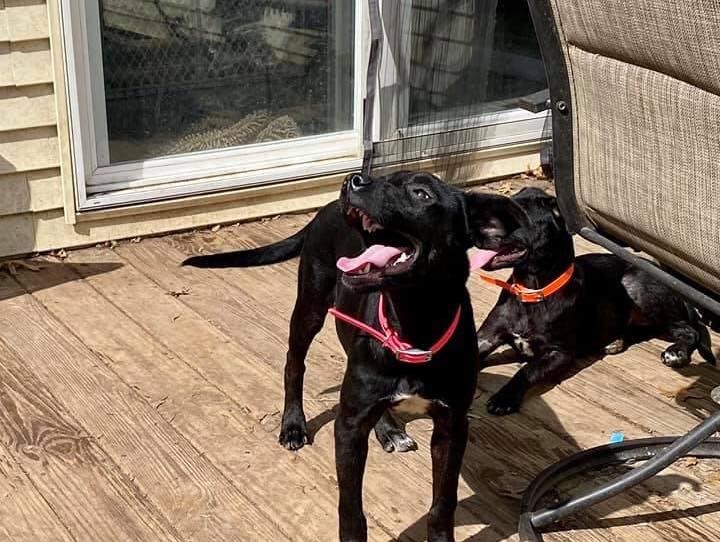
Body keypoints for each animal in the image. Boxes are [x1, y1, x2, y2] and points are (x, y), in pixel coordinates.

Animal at [184, 173, 524, 542]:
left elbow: (443, 502)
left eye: (421, 193)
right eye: (387, 178)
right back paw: (293, 425)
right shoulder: (348, 428)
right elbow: (351, 507)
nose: (354, 180)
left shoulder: (452, 426)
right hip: (310, 306)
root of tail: (327, 208)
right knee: (294, 364)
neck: (413, 326)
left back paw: (388, 430)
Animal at [476, 187, 716, 416]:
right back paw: (617, 341)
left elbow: (527, 370)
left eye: (517, 214)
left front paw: (504, 398)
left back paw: (676, 352)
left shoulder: (560, 353)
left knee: (688, 330)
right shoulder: (486, 337)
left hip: (635, 285)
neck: (532, 291)